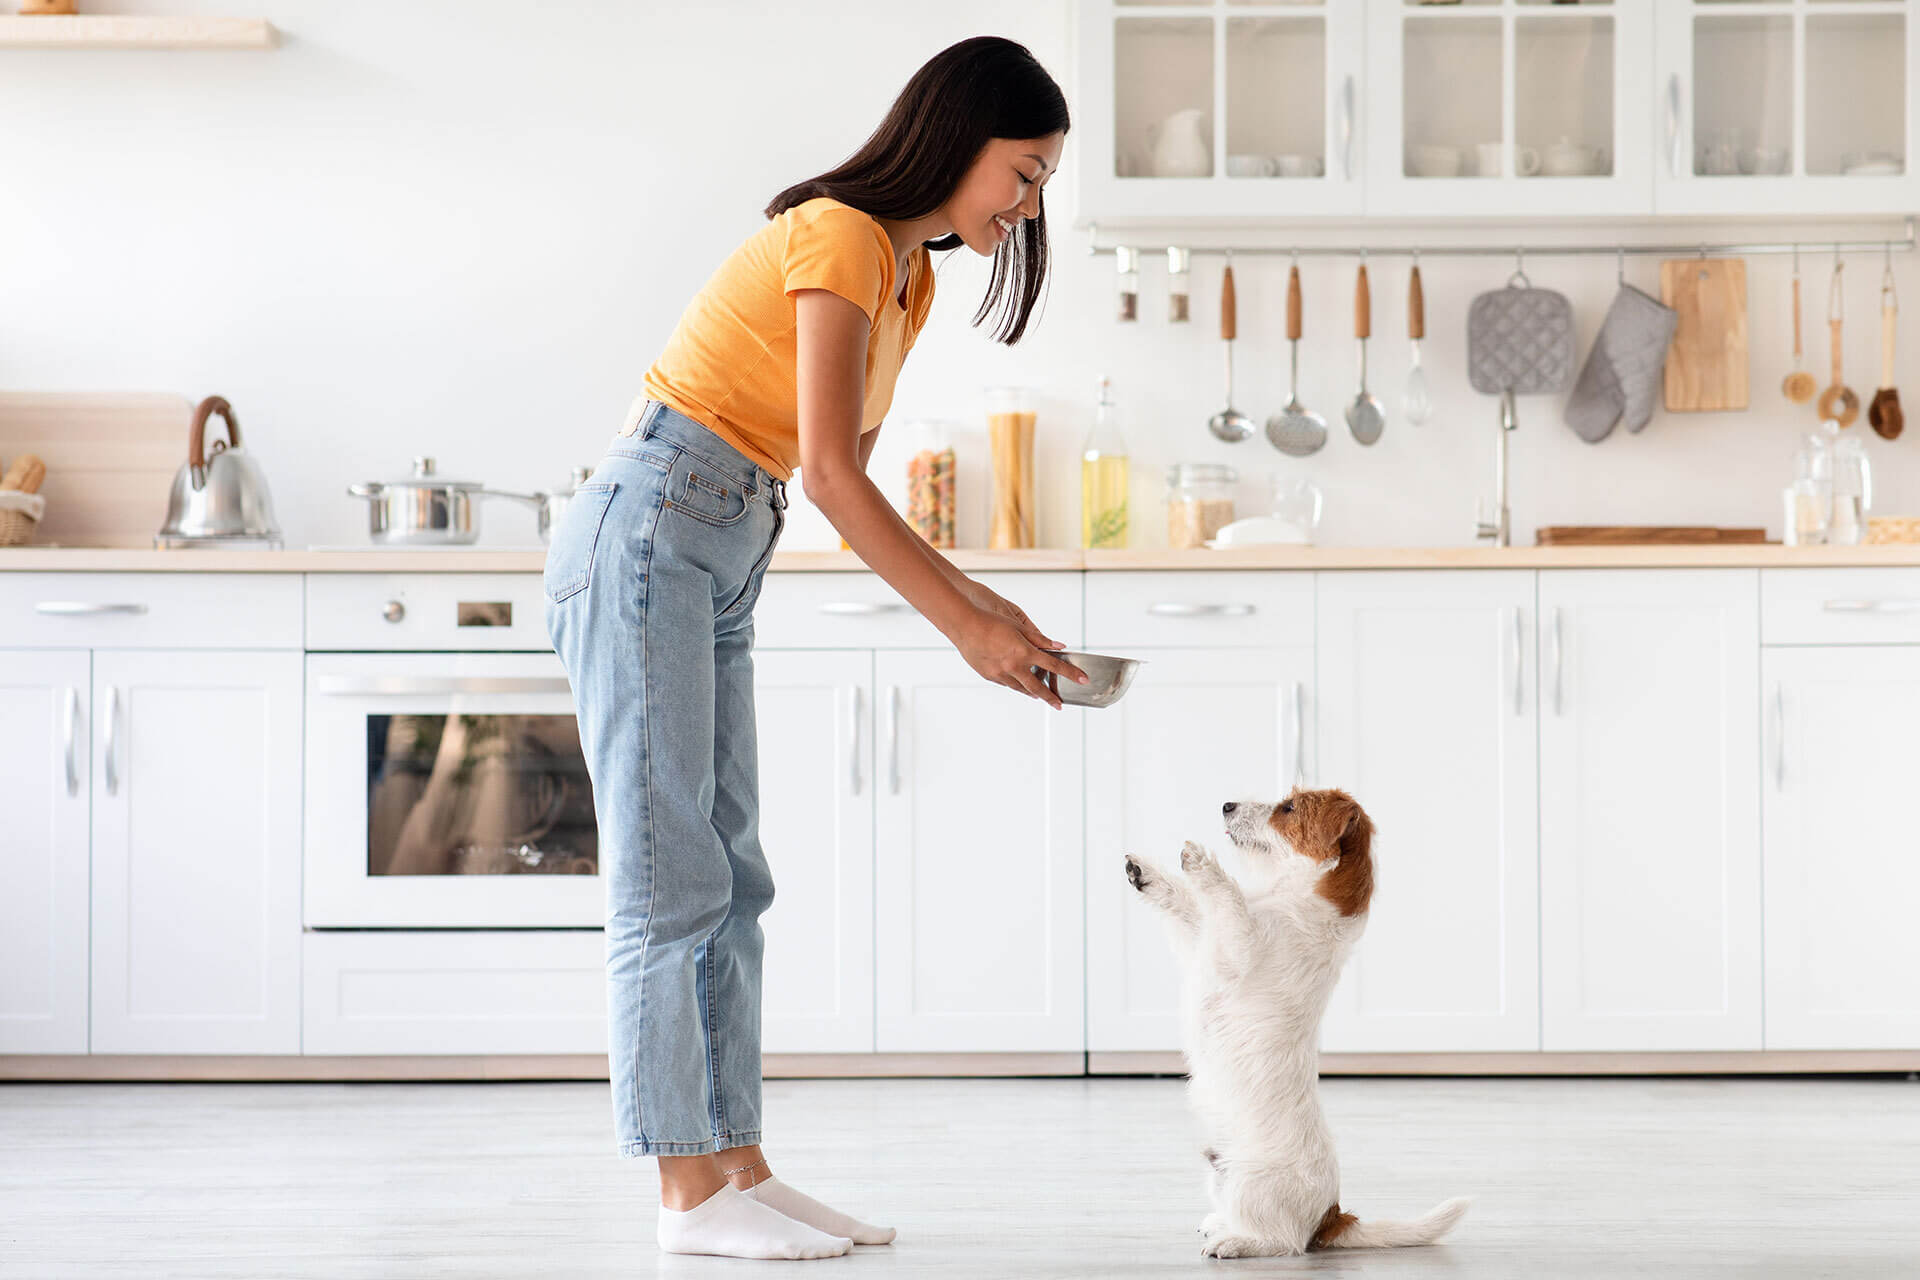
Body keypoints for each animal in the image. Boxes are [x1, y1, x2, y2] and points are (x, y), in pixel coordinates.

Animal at [1121, 786, 1466, 1258]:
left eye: (1288, 808)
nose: (1225, 804)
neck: (1294, 895)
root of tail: (1330, 1216)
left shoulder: (1240, 947)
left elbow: (1228, 901)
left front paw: (1205, 863)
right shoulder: (1203, 945)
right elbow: (1190, 907)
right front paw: (1148, 873)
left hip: (1251, 1184)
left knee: (1285, 1241)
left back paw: (1234, 1243)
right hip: (1219, 1174)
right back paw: (1219, 1225)